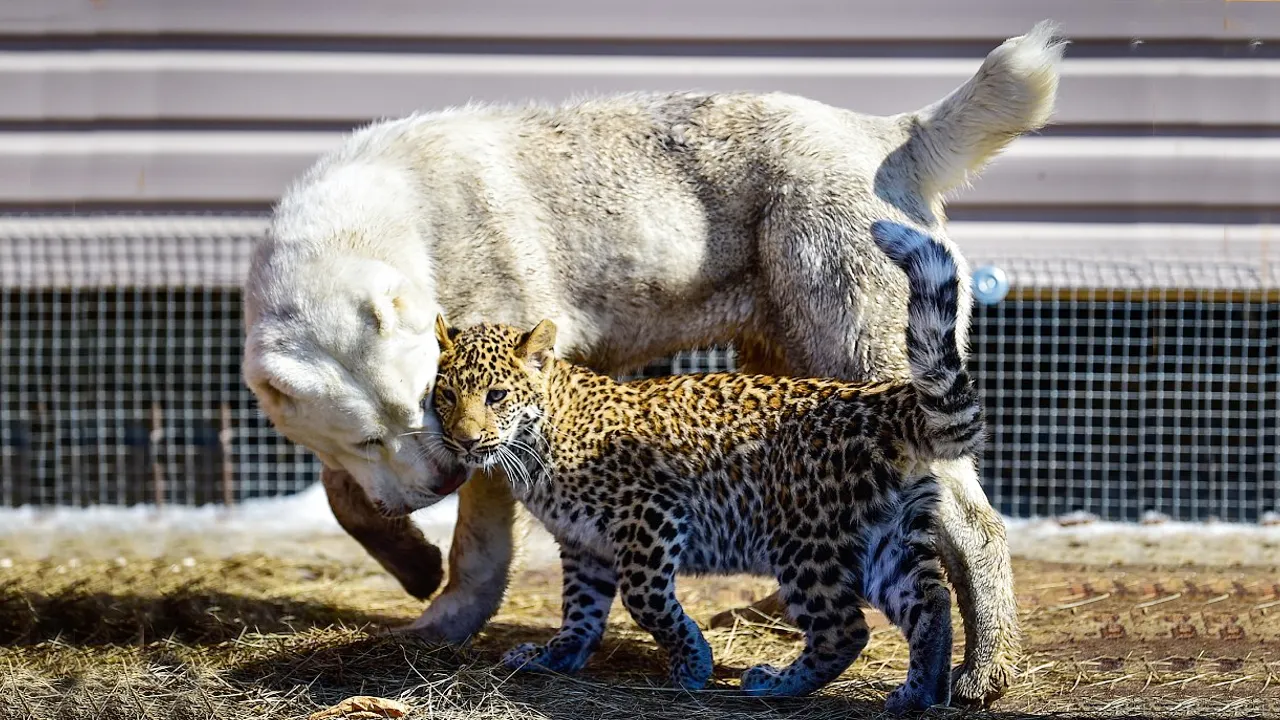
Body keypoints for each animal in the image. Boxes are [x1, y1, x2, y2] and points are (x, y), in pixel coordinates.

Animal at [244, 22, 1064, 707]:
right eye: (370, 434)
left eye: (426, 403)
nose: (442, 481)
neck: (394, 228)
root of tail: (885, 131)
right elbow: (345, 495)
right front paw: (411, 562)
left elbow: (477, 548)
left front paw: (441, 622)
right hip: (788, 365)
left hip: (862, 351)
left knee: (975, 528)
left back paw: (984, 671)